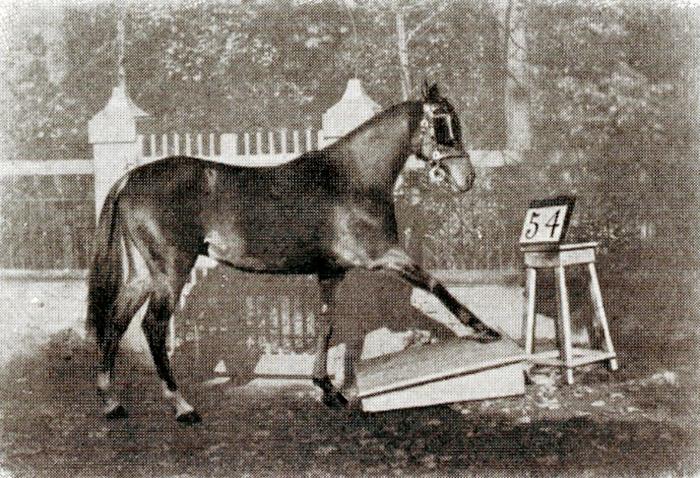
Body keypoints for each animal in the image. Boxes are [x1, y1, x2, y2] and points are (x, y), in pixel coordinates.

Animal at [86, 82, 501, 424]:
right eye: (444, 122)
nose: (467, 178)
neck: (352, 178)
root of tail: (129, 178)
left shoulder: (331, 271)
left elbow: (326, 322)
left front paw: (328, 389)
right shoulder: (384, 255)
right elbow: (434, 285)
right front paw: (485, 330)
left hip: (145, 274)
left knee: (116, 320)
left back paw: (112, 402)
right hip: (171, 270)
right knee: (152, 327)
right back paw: (182, 406)